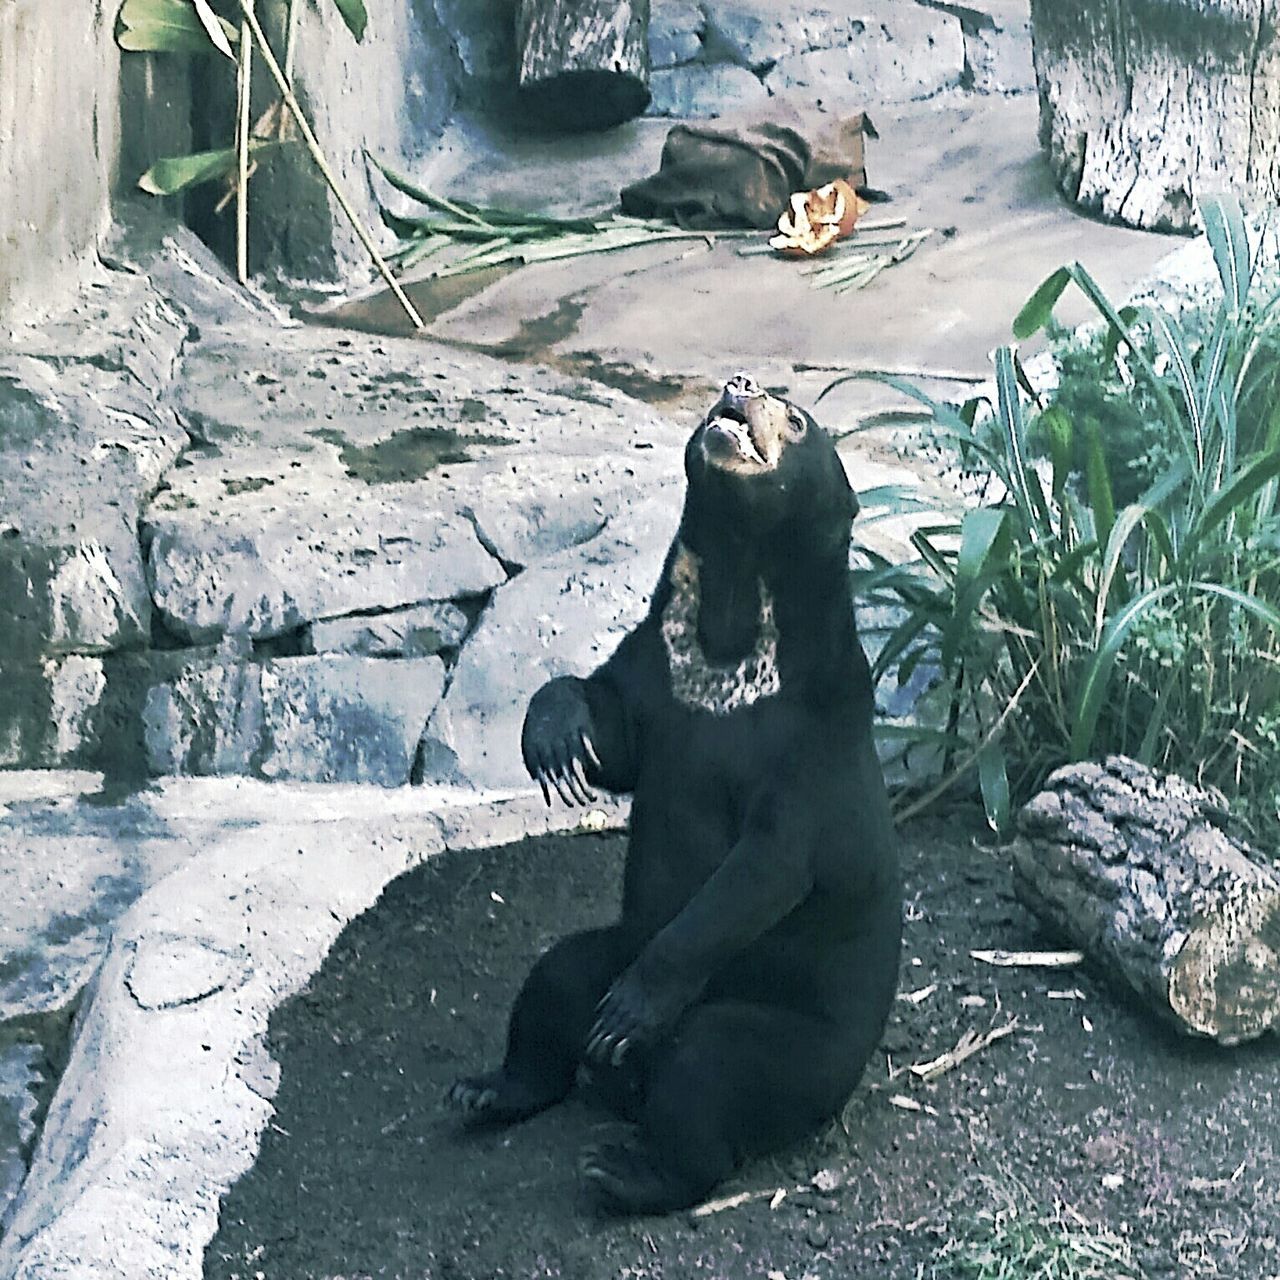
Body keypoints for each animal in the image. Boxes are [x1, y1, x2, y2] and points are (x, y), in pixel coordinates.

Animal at [450, 373, 901, 1213]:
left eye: (797, 419)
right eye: (751, 390)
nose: (738, 390)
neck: (729, 638)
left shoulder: (812, 740)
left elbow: (765, 868)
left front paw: (635, 1007)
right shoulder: (657, 669)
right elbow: (615, 736)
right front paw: (553, 743)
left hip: (794, 1041)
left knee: (708, 1068)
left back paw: (627, 1166)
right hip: (606, 951)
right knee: (554, 986)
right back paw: (490, 1091)